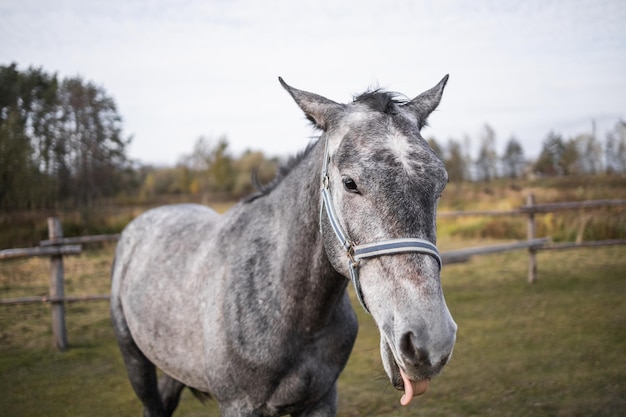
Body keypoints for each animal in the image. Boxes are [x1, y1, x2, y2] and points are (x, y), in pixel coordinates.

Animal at [109, 75, 456, 416]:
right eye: (350, 183)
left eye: (441, 184)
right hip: (135, 361)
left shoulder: (321, 400)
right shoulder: (239, 405)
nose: (430, 341)